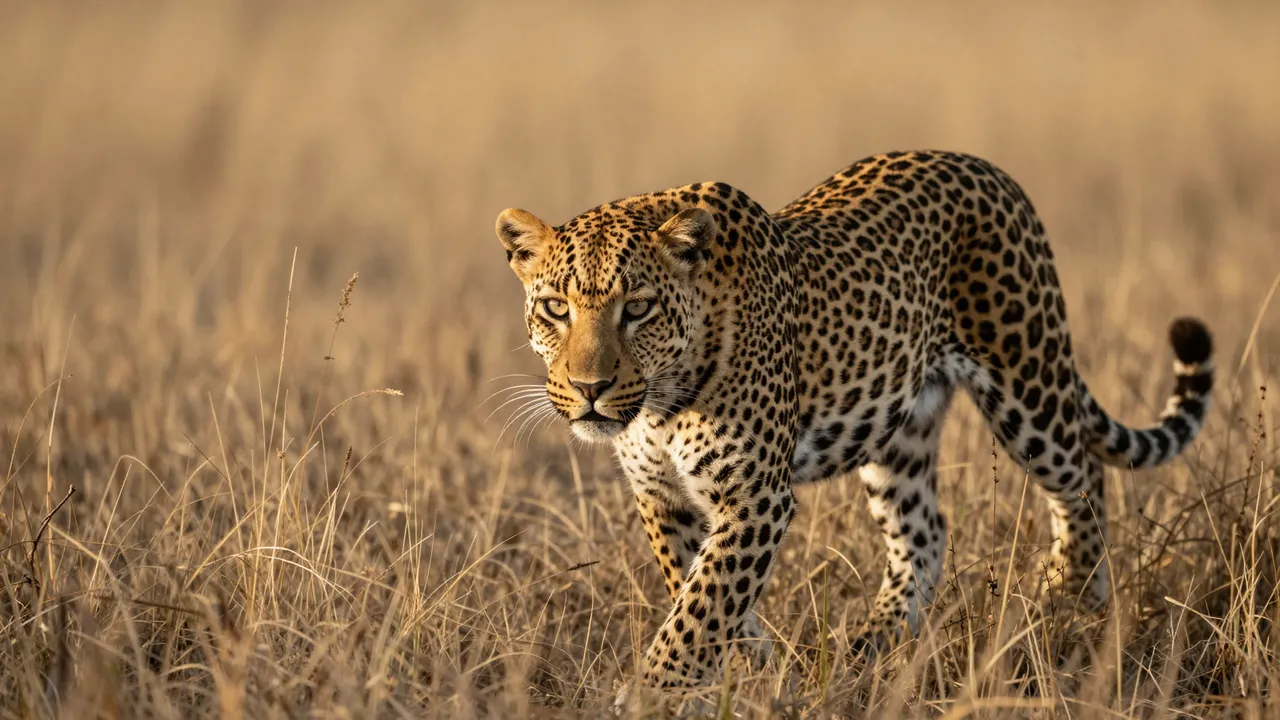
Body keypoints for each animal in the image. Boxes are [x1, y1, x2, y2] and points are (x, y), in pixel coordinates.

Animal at [493, 150, 1214, 694]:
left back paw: (1071, 601)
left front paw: (656, 691)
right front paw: (758, 670)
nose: (590, 389)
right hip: (899, 432)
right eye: (556, 307)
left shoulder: (756, 496)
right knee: (925, 532)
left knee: (1084, 474)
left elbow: (702, 605)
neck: (660, 404)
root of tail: (988, 169)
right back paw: (873, 642)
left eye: (638, 308)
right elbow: (699, 589)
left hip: (1027, 382)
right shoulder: (662, 497)